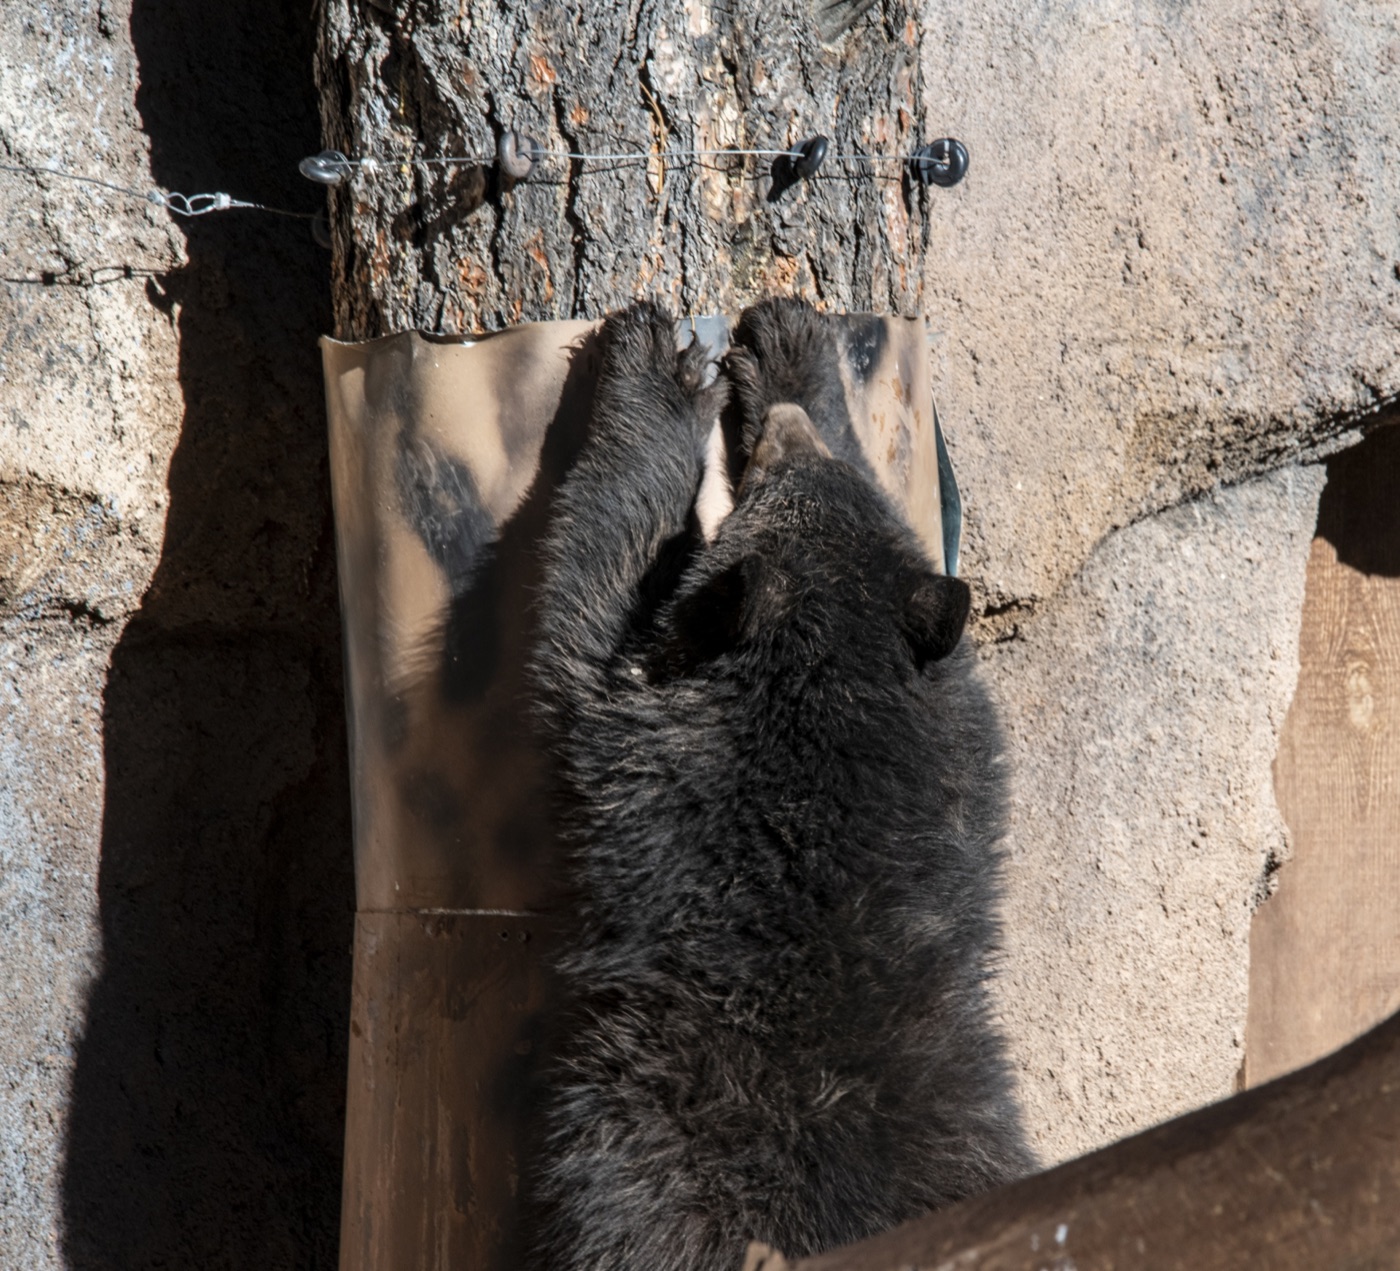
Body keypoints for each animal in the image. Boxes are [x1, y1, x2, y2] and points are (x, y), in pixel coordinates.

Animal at [526, 298, 1034, 1270]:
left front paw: (660, 371)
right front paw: (792, 351)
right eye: (793, 463)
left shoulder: (659, 753)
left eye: (771, 478)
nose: (783, 428)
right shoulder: (959, 750)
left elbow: (591, 602)